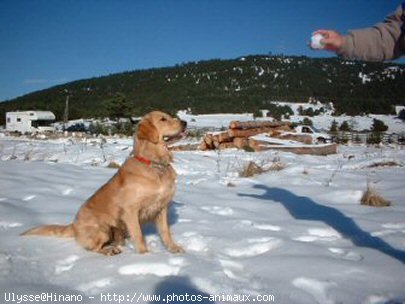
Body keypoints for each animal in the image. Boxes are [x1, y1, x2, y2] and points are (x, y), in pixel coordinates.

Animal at [21, 110, 185, 255]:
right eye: (163, 119)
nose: (185, 122)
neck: (154, 164)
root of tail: (73, 226)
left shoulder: (161, 207)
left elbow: (165, 232)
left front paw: (173, 248)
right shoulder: (130, 210)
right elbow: (138, 234)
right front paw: (145, 255)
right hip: (103, 229)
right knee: (94, 248)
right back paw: (110, 251)